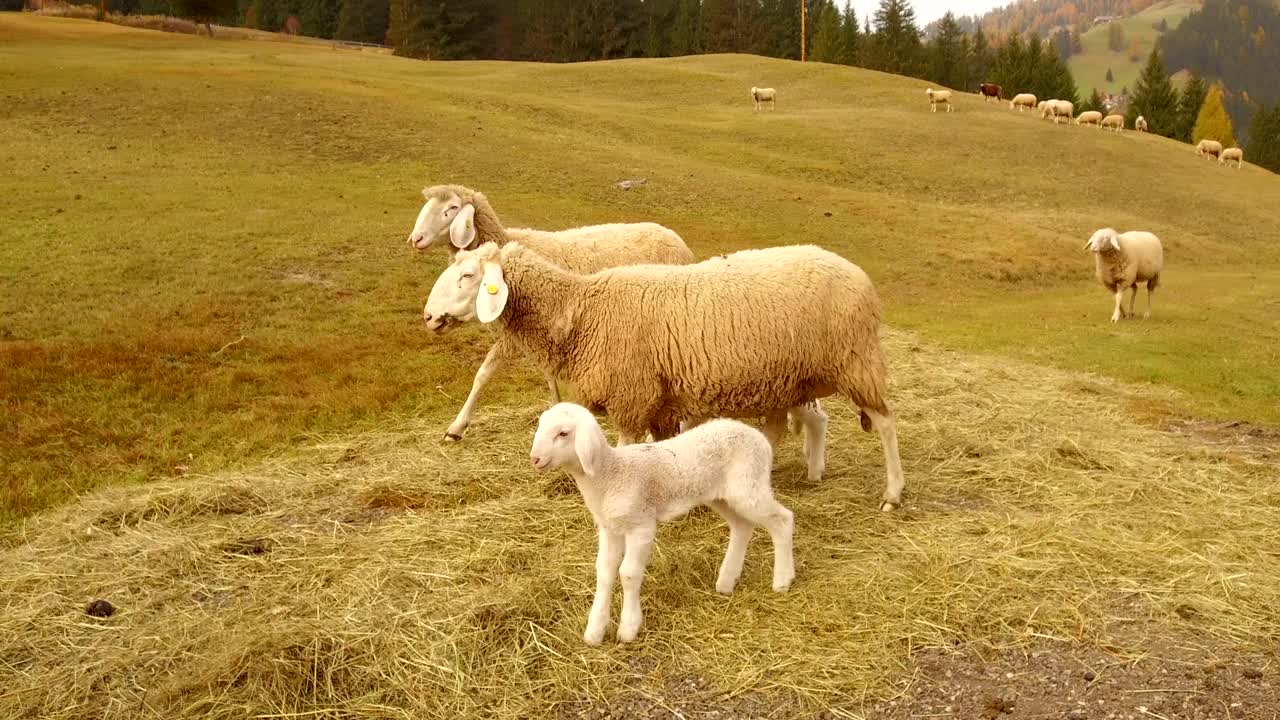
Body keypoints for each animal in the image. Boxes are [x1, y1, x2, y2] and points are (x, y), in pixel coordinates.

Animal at [407, 184, 695, 441]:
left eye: (452, 208)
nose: (416, 239)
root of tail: (676, 238)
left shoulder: (519, 334)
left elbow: (483, 375)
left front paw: (456, 427)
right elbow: (545, 374)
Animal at [423, 241, 907, 511]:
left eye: (467, 275)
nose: (428, 317)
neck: (581, 312)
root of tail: (859, 276)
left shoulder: (632, 396)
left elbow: (626, 452)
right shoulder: (658, 400)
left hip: (856, 360)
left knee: (884, 423)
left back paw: (892, 494)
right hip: (787, 378)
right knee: (783, 428)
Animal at [530, 402, 795, 645]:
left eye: (563, 433)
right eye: (541, 425)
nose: (535, 459)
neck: (610, 475)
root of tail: (759, 437)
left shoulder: (641, 526)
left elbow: (628, 573)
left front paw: (628, 629)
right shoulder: (610, 528)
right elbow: (604, 572)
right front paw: (595, 631)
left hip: (749, 486)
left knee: (783, 519)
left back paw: (783, 579)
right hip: (722, 496)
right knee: (742, 526)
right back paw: (727, 581)